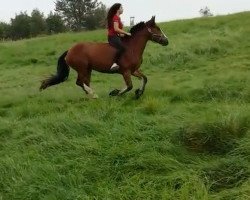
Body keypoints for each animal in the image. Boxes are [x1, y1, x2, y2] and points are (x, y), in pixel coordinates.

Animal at [40, 16, 168, 99]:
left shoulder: (133, 70)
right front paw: (115, 93)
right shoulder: (126, 71)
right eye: (157, 28)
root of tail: (69, 51)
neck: (131, 48)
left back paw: (90, 95)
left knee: (85, 82)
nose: (166, 41)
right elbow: (129, 86)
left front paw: (139, 93)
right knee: (79, 82)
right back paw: (94, 95)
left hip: (88, 69)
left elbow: (144, 79)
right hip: (82, 69)